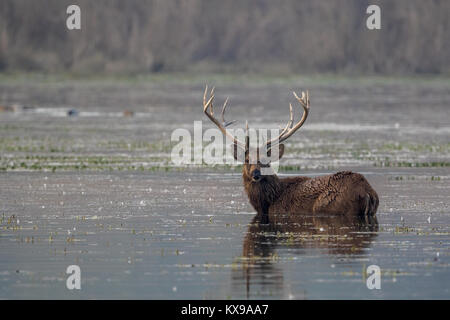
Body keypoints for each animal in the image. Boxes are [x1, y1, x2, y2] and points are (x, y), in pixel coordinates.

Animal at [202, 85, 378, 225]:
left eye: (266, 160)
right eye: (246, 159)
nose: (256, 174)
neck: (270, 201)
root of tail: (368, 192)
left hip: (332, 206)